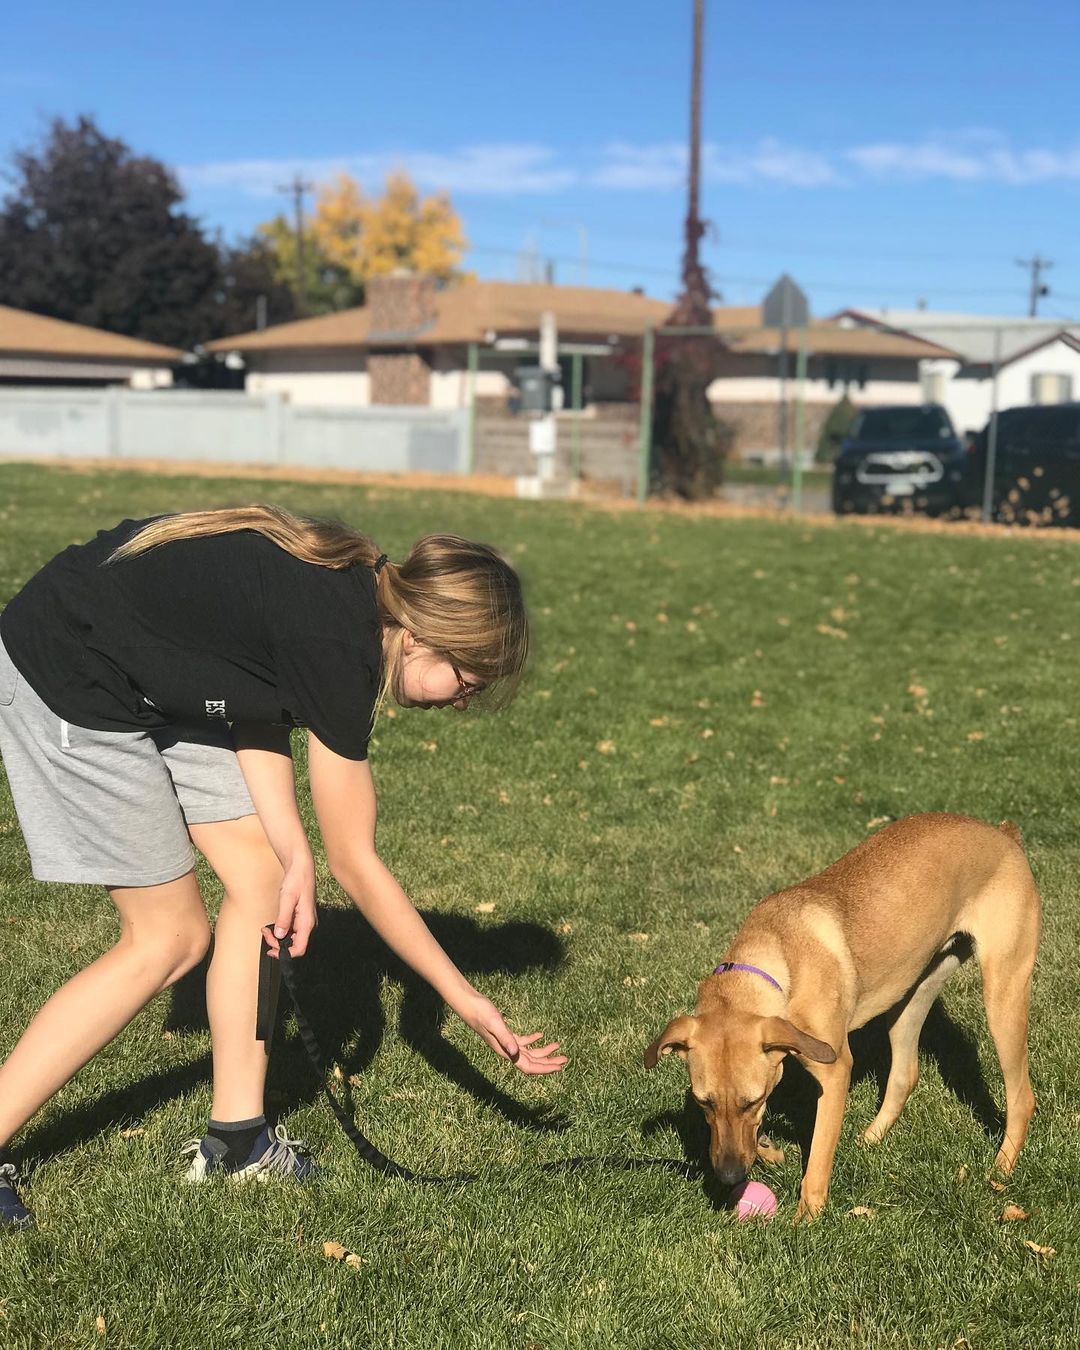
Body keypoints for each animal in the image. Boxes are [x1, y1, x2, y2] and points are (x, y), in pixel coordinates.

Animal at [645, 810, 1042, 1225]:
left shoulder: (834, 1070)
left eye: (749, 1102)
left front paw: (805, 1219)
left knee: (1022, 1097)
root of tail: (1003, 835)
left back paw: (1000, 1169)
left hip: (1003, 995)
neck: (778, 954)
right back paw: (870, 1138)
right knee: (904, 1075)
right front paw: (771, 1150)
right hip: (913, 995)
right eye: (704, 1103)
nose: (728, 1176)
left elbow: (818, 1157)